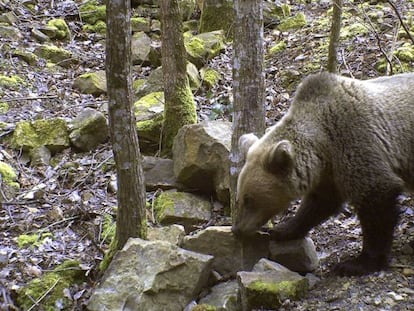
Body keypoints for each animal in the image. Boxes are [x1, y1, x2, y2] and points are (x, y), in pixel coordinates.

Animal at [231, 72, 414, 276]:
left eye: (249, 199)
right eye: (239, 197)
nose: (236, 229)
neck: (323, 143)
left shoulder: (356, 143)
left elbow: (376, 199)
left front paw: (357, 263)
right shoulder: (328, 173)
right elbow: (319, 203)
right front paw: (282, 230)